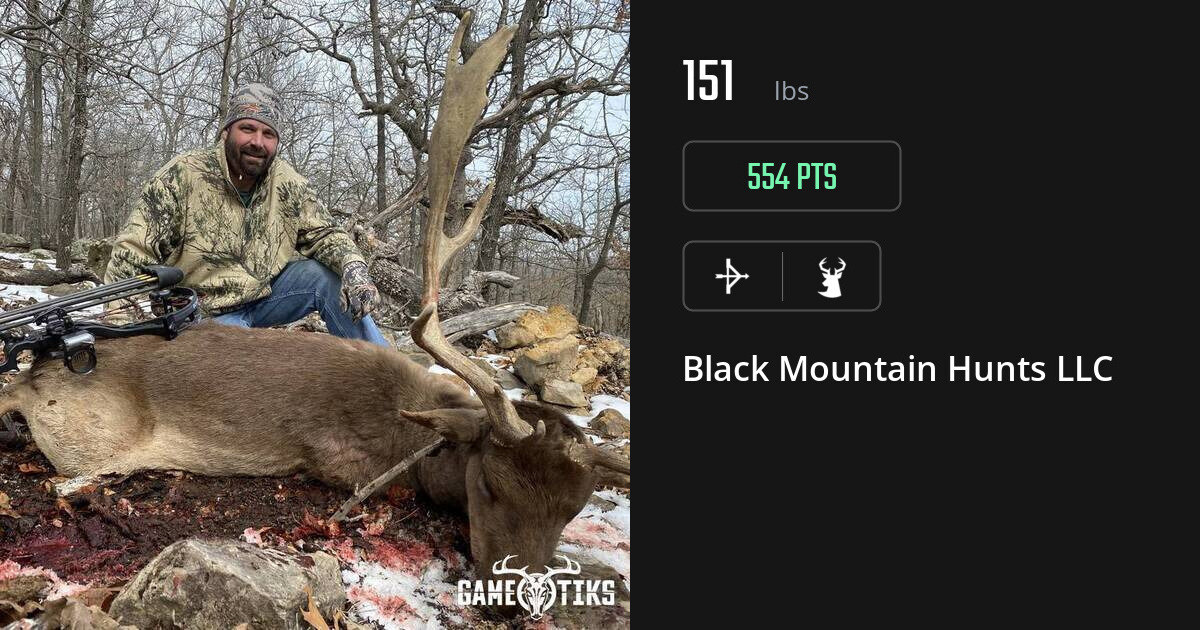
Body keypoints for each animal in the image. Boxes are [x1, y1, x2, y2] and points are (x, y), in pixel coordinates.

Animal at [0, 15, 629, 590]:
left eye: (571, 510)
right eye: (491, 484)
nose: (519, 593)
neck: (410, 429)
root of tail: (38, 368)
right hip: (93, 442)